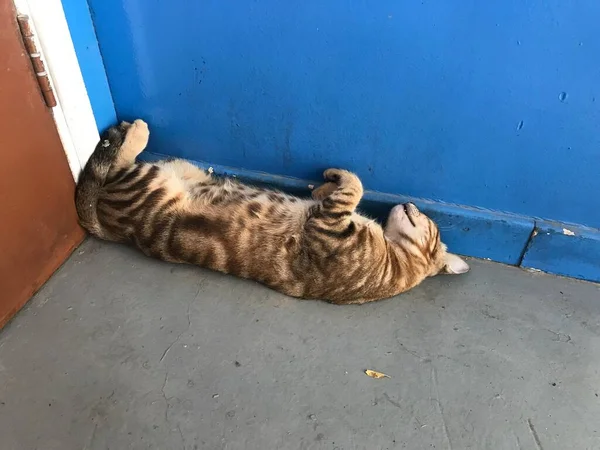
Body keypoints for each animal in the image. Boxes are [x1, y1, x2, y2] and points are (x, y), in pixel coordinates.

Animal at [75, 118, 468, 306]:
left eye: (426, 220)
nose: (411, 204)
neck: (397, 259)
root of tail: (116, 230)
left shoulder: (328, 228)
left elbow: (355, 187)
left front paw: (337, 180)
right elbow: (349, 189)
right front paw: (323, 186)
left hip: (145, 184)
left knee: (113, 167)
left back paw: (134, 133)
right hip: (186, 168)